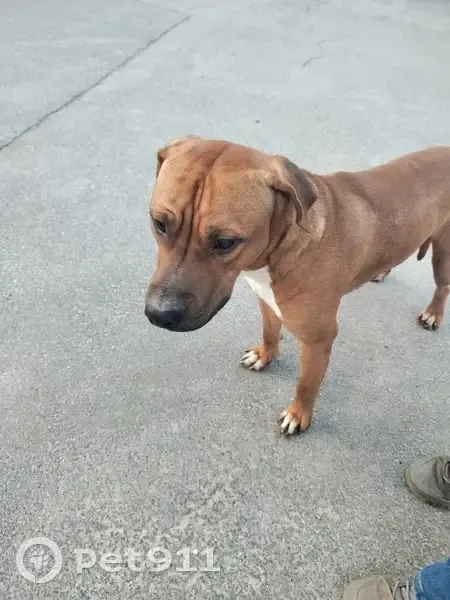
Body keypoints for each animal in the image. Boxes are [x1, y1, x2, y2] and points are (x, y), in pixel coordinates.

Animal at [145, 136, 450, 435]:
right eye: (159, 224)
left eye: (225, 242)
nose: (159, 314)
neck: (279, 250)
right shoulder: (267, 300)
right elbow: (270, 332)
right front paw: (265, 355)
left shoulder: (318, 340)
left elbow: (306, 384)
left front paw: (298, 415)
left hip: (443, 257)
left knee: (442, 287)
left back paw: (433, 313)